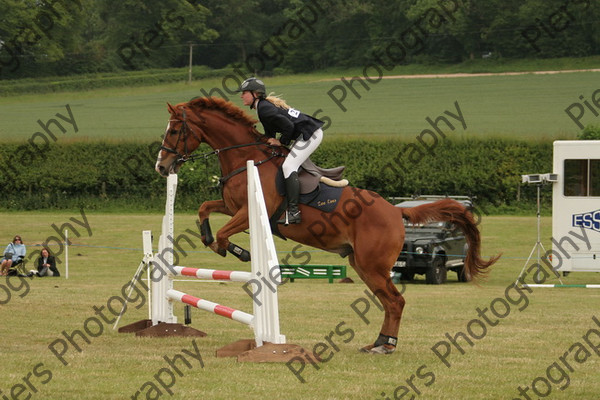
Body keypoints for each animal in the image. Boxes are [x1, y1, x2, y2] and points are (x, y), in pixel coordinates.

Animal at [154, 96, 496, 354]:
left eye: (174, 131)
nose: (162, 166)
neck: (244, 157)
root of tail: (395, 212)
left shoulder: (250, 212)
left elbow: (226, 234)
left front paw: (238, 252)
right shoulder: (231, 207)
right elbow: (204, 209)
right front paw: (209, 238)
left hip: (372, 265)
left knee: (396, 301)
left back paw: (387, 345)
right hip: (362, 265)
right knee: (389, 302)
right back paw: (378, 343)